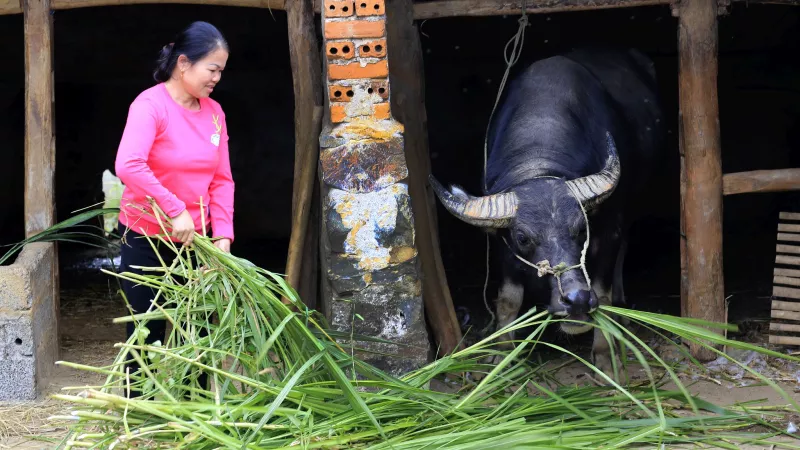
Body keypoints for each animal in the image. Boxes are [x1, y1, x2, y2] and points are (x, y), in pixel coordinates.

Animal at [428, 47, 664, 376]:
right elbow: (508, 299)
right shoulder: (502, 246)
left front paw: (604, 358)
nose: (576, 300)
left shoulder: (610, 231)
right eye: (523, 238)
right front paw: (503, 356)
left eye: (581, 229)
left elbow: (602, 293)